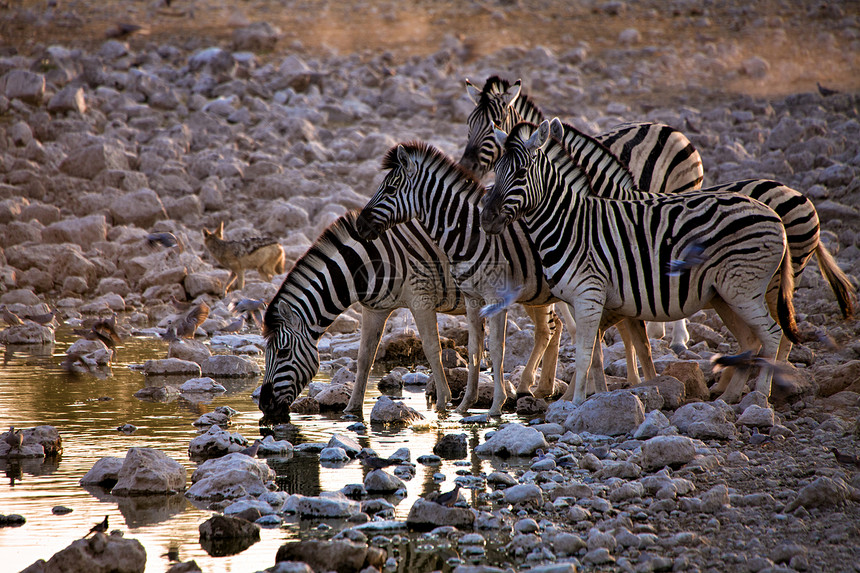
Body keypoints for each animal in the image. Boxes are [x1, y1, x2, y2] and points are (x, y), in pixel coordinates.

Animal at [484, 120, 800, 404]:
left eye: (521, 172)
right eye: (495, 171)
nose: (487, 217)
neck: (570, 223)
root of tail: (773, 214)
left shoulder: (589, 295)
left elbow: (586, 353)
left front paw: (575, 404)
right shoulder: (583, 300)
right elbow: (598, 353)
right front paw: (592, 398)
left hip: (745, 290)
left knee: (772, 335)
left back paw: (761, 396)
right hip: (725, 295)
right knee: (751, 340)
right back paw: (731, 395)